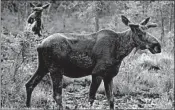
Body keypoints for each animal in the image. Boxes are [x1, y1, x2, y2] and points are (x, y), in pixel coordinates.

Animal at [25, 3, 161, 109]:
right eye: (139, 33)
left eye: (147, 30)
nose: (157, 46)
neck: (120, 51)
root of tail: (39, 46)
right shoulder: (97, 73)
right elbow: (91, 99)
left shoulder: (109, 76)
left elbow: (111, 100)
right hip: (55, 69)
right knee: (57, 95)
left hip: (43, 67)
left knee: (29, 84)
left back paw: (28, 106)